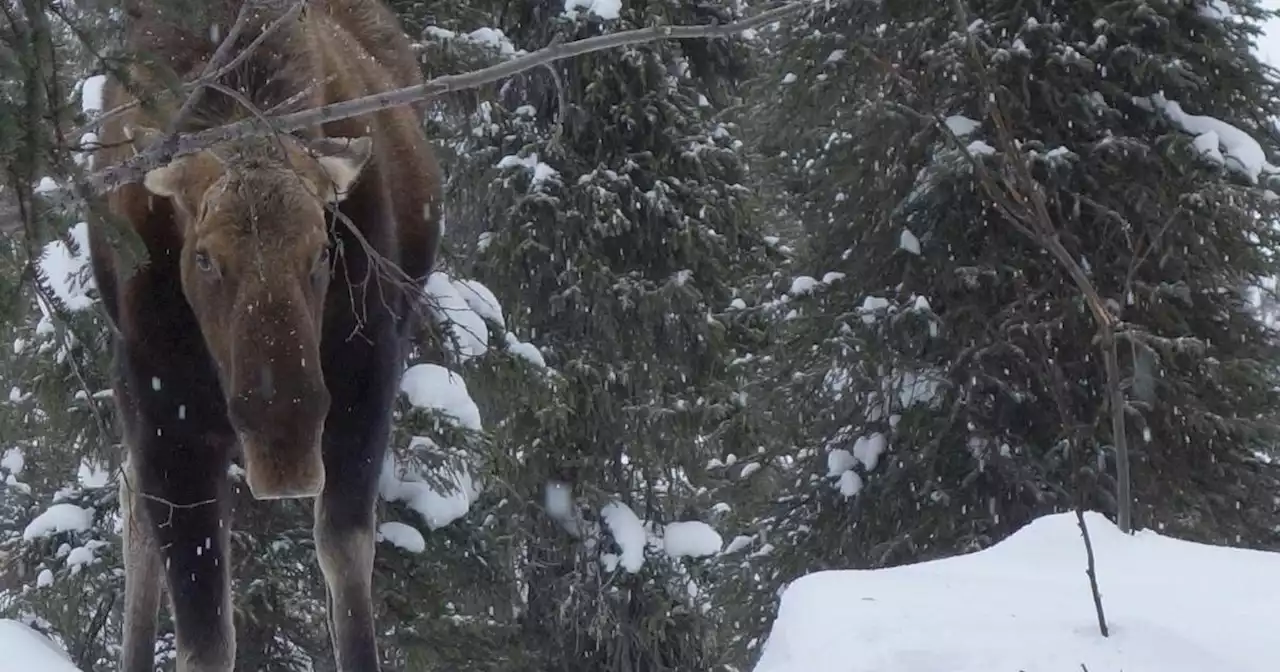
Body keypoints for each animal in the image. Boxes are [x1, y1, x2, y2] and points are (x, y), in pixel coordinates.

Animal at [86, 2, 445, 665]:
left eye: (322, 250)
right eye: (204, 257)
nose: (284, 444)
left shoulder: (370, 371)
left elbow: (345, 556)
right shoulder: (165, 410)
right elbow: (204, 639)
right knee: (134, 511)